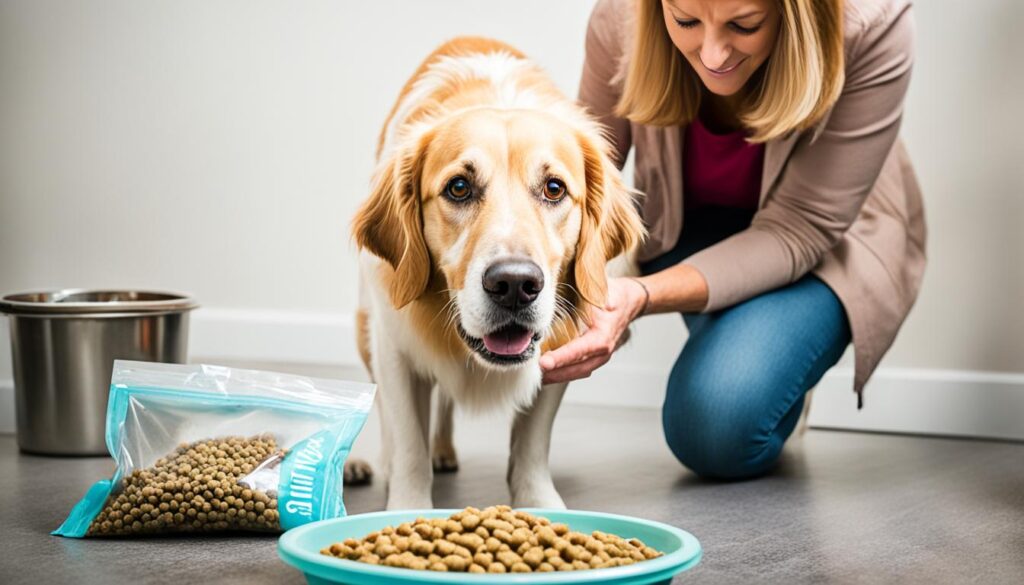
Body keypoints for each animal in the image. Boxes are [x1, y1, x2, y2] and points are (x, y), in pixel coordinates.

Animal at [352, 37, 638, 512]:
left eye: (554, 189)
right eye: (459, 188)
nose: (515, 286)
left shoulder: (559, 350)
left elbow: (532, 441)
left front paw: (538, 502)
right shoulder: (395, 343)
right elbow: (408, 437)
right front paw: (408, 505)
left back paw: (443, 450)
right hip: (366, 329)